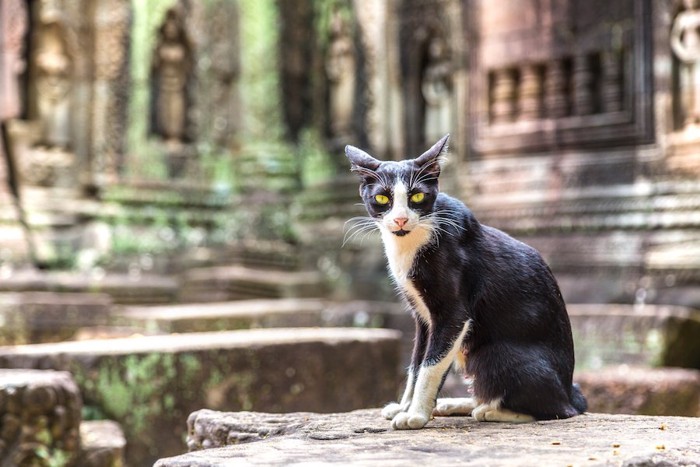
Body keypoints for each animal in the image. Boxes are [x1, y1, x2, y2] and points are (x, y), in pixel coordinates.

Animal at [344, 133, 584, 430]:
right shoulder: (422, 318)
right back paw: (460, 404)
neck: (409, 245)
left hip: (495, 354)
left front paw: (415, 415)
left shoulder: (454, 311)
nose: (400, 219)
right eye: (381, 197)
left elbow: (431, 365)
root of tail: (570, 392)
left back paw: (491, 411)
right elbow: (416, 363)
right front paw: (404, 406)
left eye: (417, 196)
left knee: (555, 410)